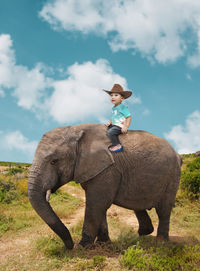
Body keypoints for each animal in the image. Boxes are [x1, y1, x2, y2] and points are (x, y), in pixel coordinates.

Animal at [27, 124, 182, 251]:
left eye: (54, 161)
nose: (70, 246)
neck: (76, 130)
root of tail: (177, 154)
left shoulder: (107, 169)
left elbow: (96, 204)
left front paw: (83, 247)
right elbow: (99, 205)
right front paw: (103, 244)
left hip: (172, 176)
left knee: (163, 210)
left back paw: (161, 243)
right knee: (138, 205)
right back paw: (144, 234)